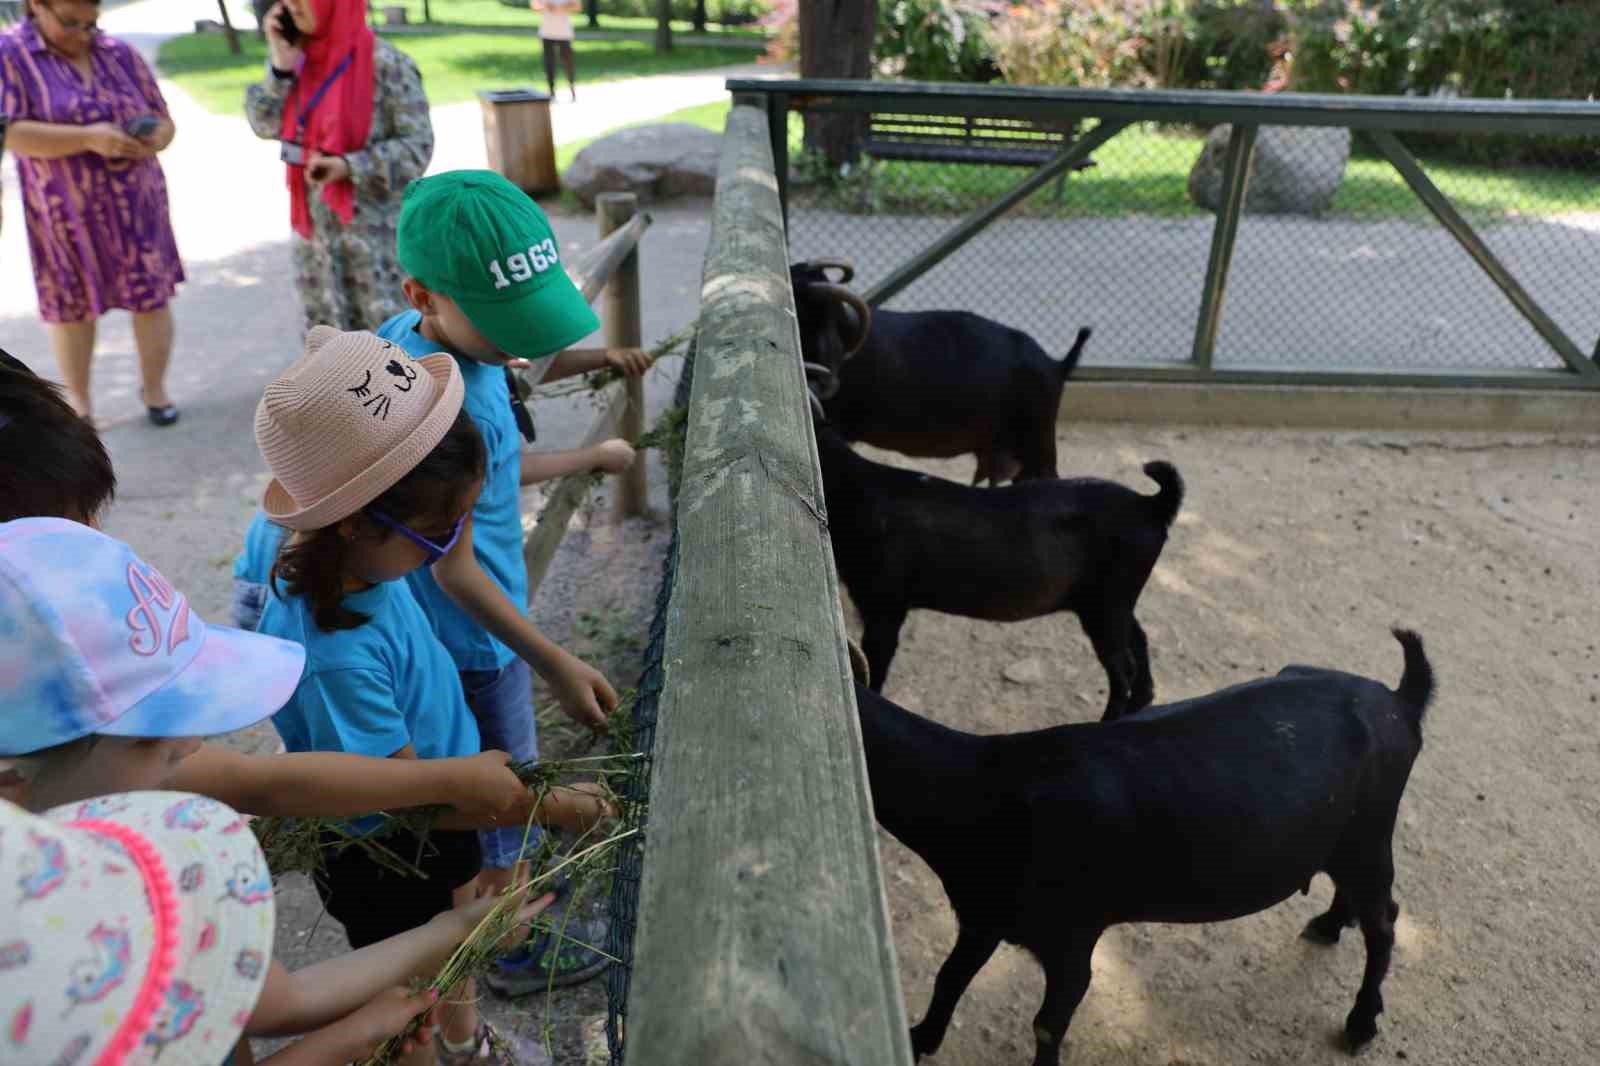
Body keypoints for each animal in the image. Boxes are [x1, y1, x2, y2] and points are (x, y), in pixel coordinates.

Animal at [819, 428, 1184, 717]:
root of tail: (1151, 505)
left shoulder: (885, 604)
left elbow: (876, 660)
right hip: (1112, 600)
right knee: (1139, 640)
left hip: (1107, 603)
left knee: (1123, 668)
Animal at [864, 630, 1440, 1062]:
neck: (992, 790)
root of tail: (1400, 699)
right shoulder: (984, 917)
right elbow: (949, 977)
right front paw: (919, 1040)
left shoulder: (1072, 936)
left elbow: (1048, 1023)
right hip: (1345, 837)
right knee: (1355, 895)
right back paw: (1330, 924)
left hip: (1370, 832)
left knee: (1384, 920)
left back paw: (1361, 1021)